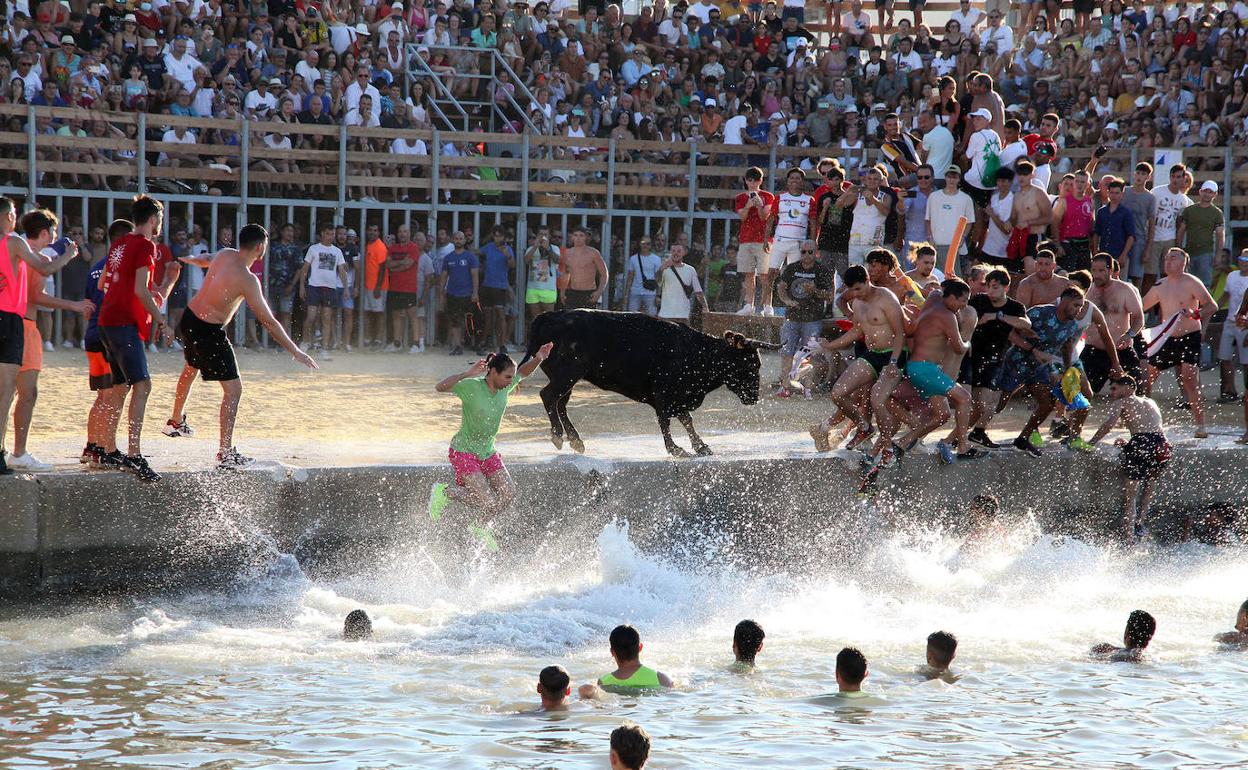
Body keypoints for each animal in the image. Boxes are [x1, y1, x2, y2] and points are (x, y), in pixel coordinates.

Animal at [519, 309, 773, 456]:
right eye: (750, 364)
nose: (754, 397)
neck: (698, 352)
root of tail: (548, 316)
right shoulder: (664, 393)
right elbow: (666, 420)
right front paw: (675, 449)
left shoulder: (678, 397)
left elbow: (686, 420)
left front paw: (701, 446)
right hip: (568, 374)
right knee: (549, 396)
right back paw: (557, 436)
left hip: (569, 378)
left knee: (560, 403)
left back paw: (575, 440)